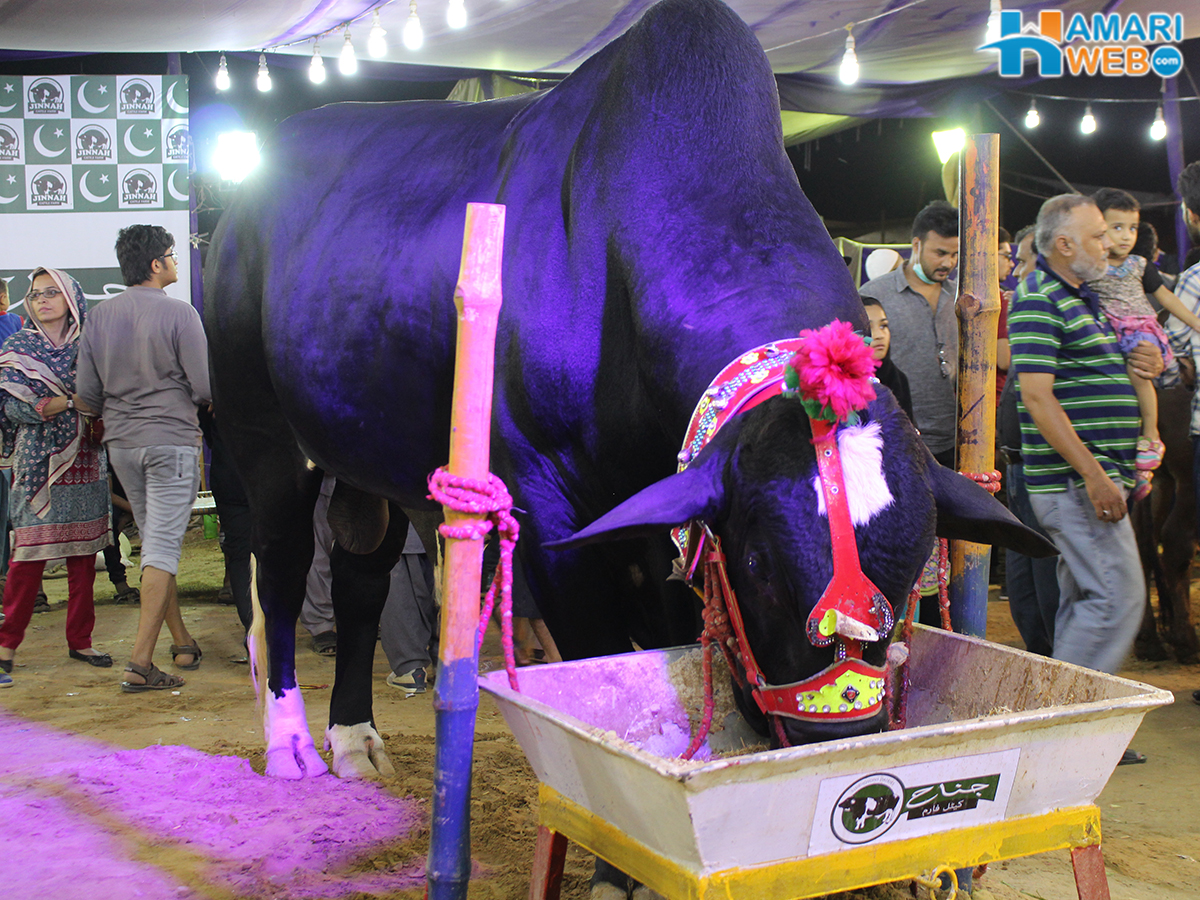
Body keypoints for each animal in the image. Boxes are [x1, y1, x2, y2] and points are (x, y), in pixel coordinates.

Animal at [204, 0, 1051, 788]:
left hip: (369, 455)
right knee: (279, 570)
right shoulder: (548, 508)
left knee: (360, 575)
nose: (834, 731)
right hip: (259, 429)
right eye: (761, 562)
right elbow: (597, 655)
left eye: (911, 570)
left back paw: (353, 737)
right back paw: (291, 745)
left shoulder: (664, 515)